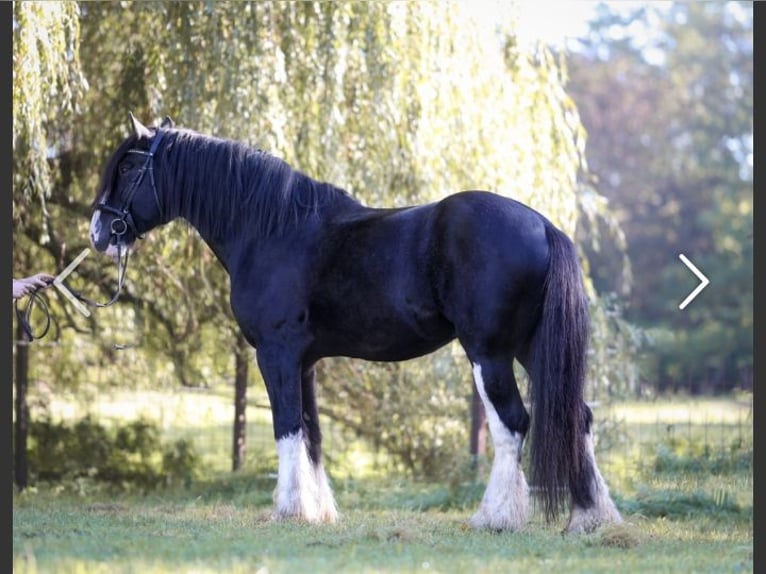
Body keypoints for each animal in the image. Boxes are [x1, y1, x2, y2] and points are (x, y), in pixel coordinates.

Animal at [91, 117, 624, 536]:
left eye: (128, 167)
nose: (98, 233)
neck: (272, 229)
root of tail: (541, 225)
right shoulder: (304, 362)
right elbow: (311, 434)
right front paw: (318, 512)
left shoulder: (276, 354)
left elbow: (286, 427)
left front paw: (289, 511)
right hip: (529, 350)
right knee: (578, 418)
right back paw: (591, 518)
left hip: (489, 352)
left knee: (512, 424)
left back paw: (495, 518)